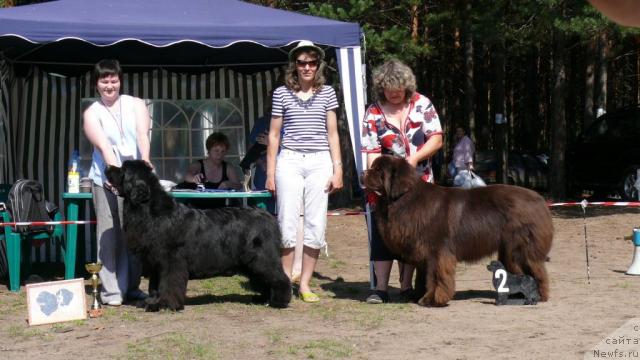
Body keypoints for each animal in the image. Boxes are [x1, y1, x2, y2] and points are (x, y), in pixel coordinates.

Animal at [105, 159, 292, 310]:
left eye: (122, 169)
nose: (107, 166)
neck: (150, 210)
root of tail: (268, 216)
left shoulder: (171, 261)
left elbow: (169, 283)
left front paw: (166, 304)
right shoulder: (155, 262)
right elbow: (155, 285)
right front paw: (152, 302)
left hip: (262, 257)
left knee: (279, 278)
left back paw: (279, 302)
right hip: (251, 262)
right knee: (263, 280)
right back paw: (263, 299)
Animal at [362, 155, 552, 306]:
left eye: (378, 170)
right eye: (373, 167)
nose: (363, 172)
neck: (403, 199)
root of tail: (540, 200)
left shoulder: (437, 252)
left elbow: (435, 276)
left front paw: (432, 300)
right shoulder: (422, 252)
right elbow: (422, 277)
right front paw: (419, 296)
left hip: (519, 249)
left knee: (535, 271)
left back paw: (537, 296)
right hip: (507, 249)